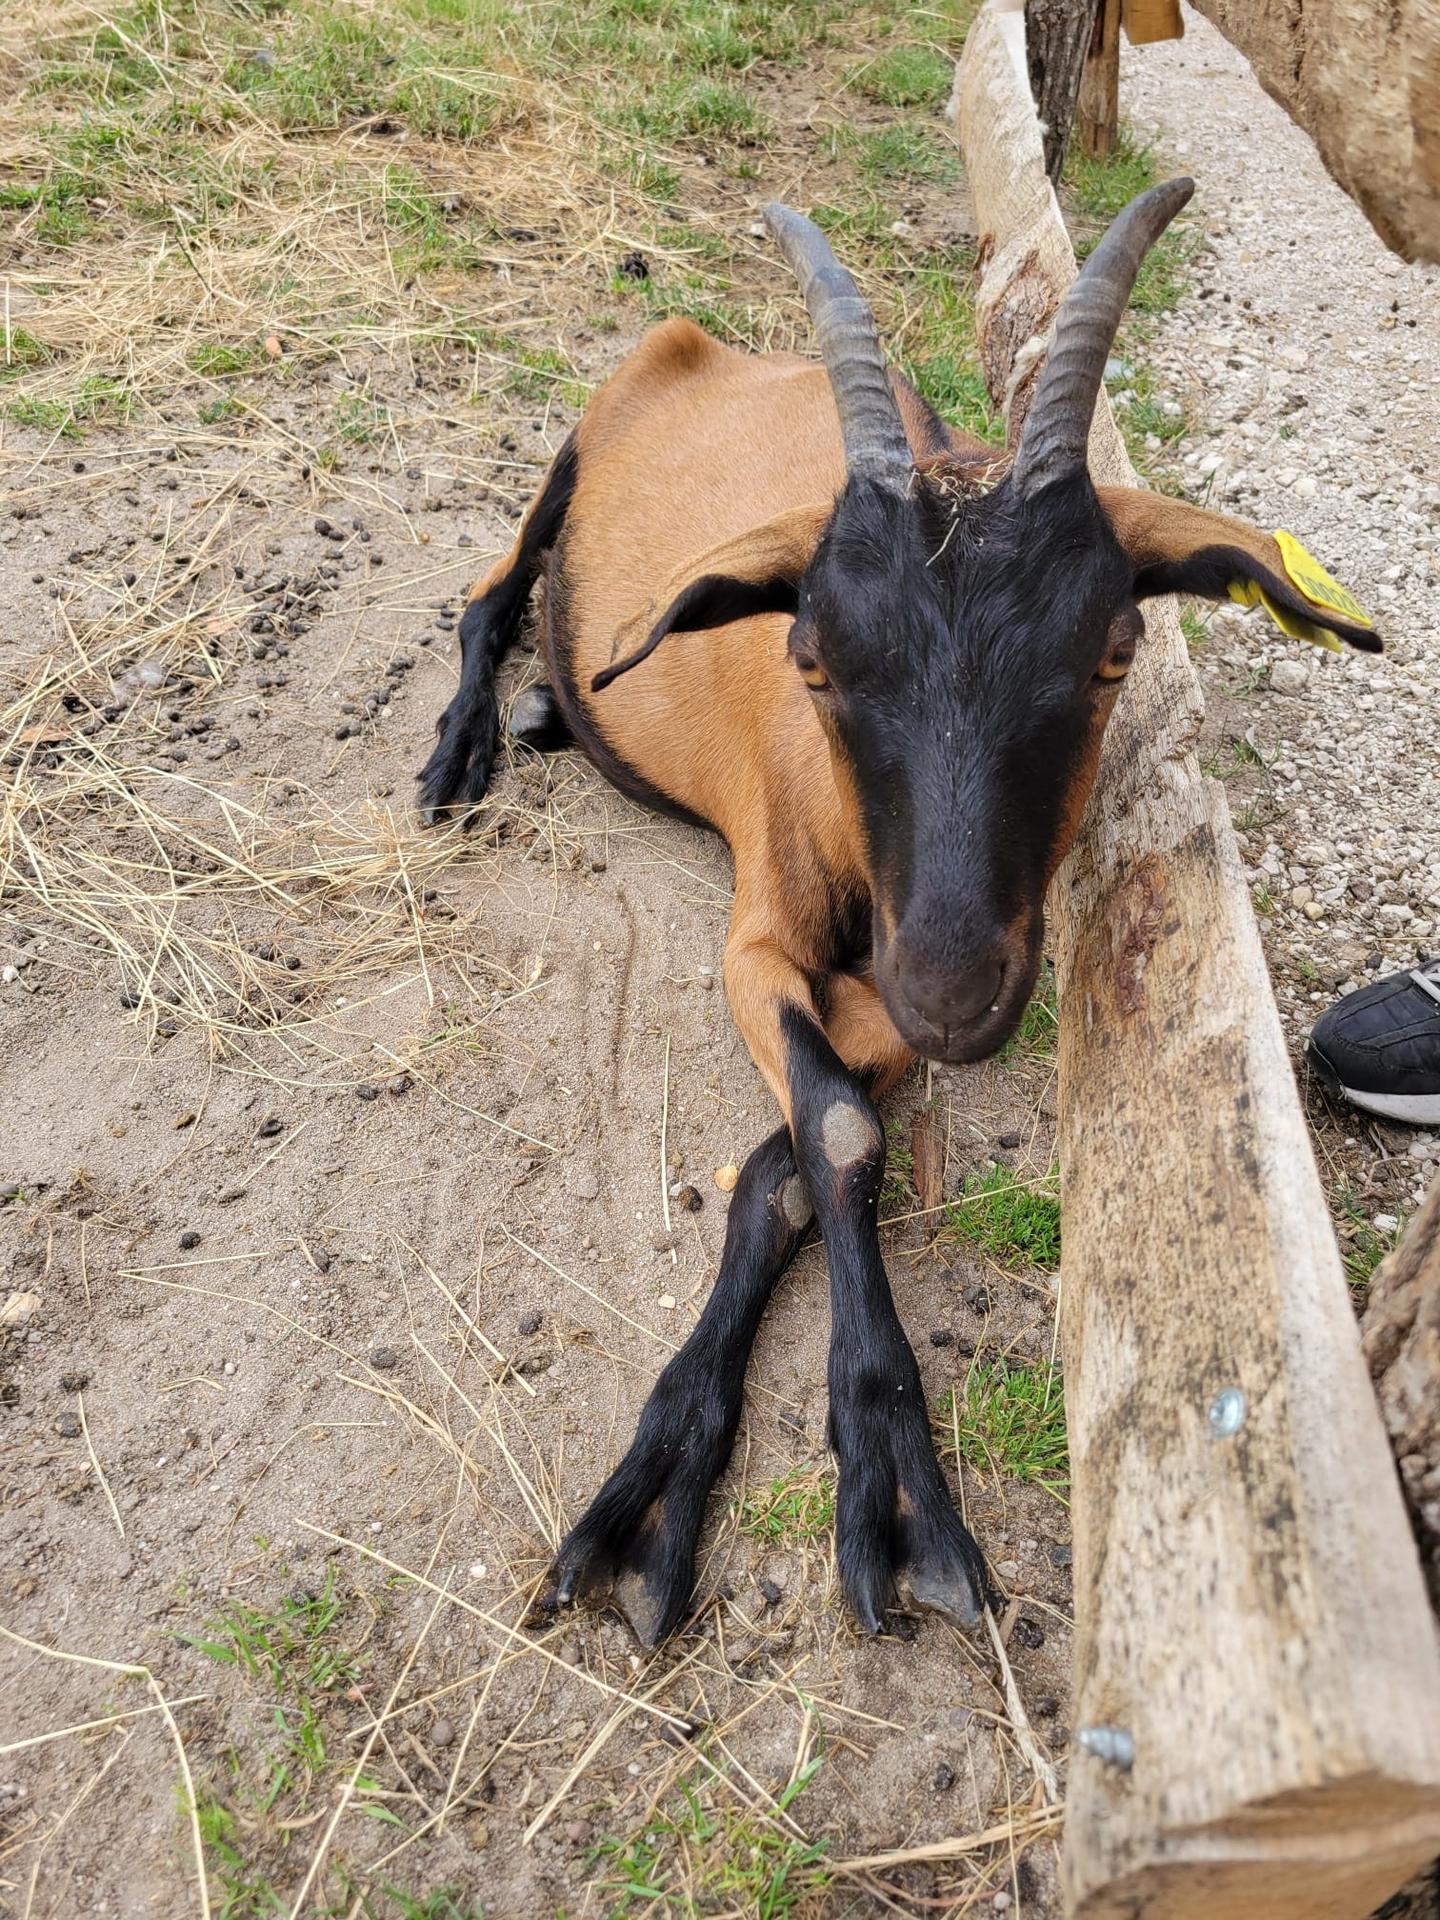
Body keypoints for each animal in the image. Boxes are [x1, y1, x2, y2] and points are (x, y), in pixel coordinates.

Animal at [416, 180, 1374, 1643]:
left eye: (1113, 651)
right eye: (811, 657)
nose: (953, 986)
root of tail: (711, 348)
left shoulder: (872, 1009)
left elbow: (791, 1162)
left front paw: (696, 1479)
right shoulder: (758, 942)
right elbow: (842, 1132)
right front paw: (887, 1490)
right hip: (569, 459)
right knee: (487, 592)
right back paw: (472, 740)